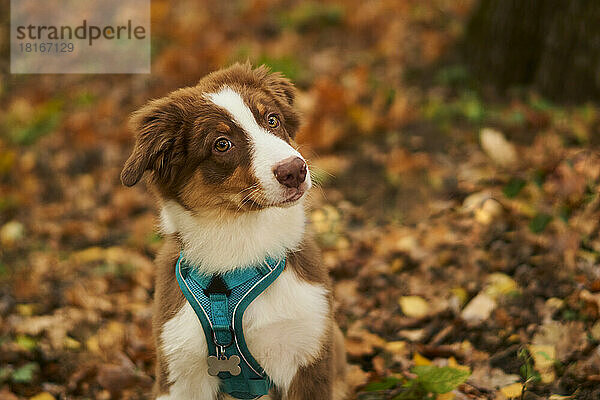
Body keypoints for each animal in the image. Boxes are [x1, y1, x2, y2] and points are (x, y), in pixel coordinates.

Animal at [120, 64, 346, 398]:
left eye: (272, 120)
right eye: (222, 144)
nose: (295, 170)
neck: (238, 243)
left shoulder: (307, 349)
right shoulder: (180, 369)